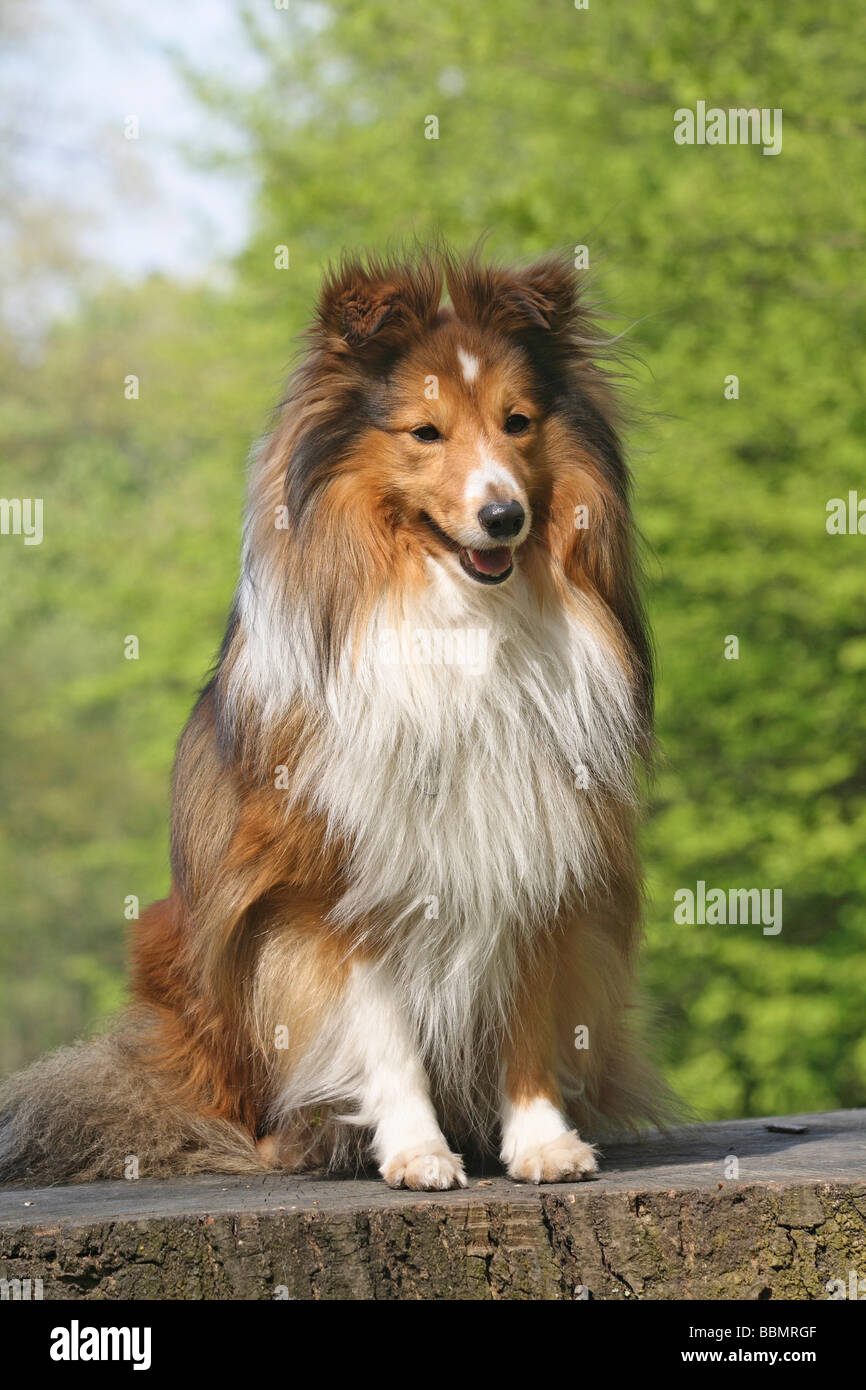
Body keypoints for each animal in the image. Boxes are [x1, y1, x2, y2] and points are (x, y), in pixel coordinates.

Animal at [0, 247, 670, 1184]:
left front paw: (543, 1142)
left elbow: (531, 1017)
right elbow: (382, 1034)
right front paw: (418, 1151)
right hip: (188, 951)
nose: (505, 516)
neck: (455, 621)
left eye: (518, 423)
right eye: (425, 433)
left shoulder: (541, 855)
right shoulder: (331, 880)